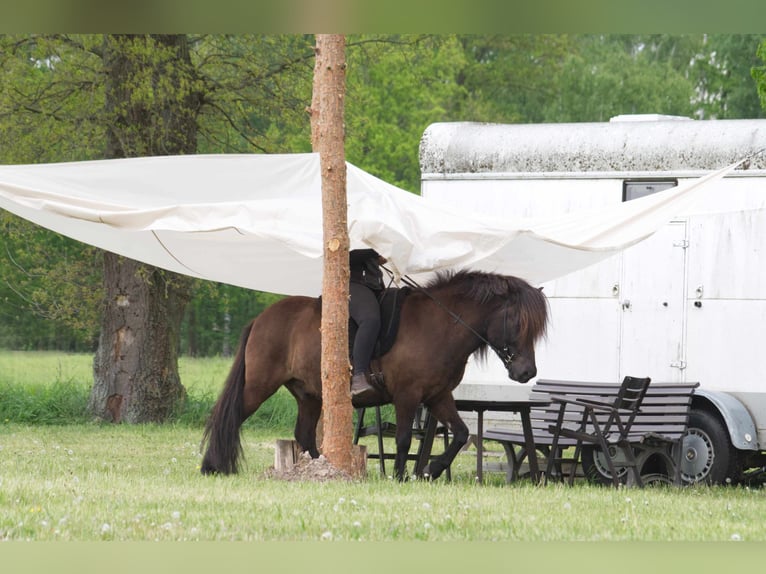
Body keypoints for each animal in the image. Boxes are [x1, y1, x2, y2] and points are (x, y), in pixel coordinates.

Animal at [202, 272, 552, 482]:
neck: (439, 325)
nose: (527, 372)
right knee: (229, 416)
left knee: (304, 434)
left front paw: (430, 470)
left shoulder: (437, 396)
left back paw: (324, 469)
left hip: (309, 395)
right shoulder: (407, 395)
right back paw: (211, 465)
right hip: (258, 386)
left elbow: (461, 433)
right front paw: (399, 475)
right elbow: (404, 438)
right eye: (517, 322)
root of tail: (262, 318)